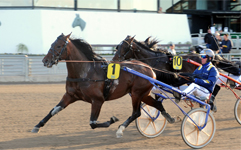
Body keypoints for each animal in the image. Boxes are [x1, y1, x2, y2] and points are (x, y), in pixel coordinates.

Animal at [32, 33, 175, 138]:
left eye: (59, 46)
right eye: (52, 44)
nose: (45, 60)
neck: (86, 72)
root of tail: (148, 68)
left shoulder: (98, 100)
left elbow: (93, 123)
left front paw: (112, 120)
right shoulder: (70, 95)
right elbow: (54, 110)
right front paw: (37, 126)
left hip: (136, 94)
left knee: (136, 113)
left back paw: (120, 129)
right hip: (143, 94)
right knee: (157, 104)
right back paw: (169, 118)